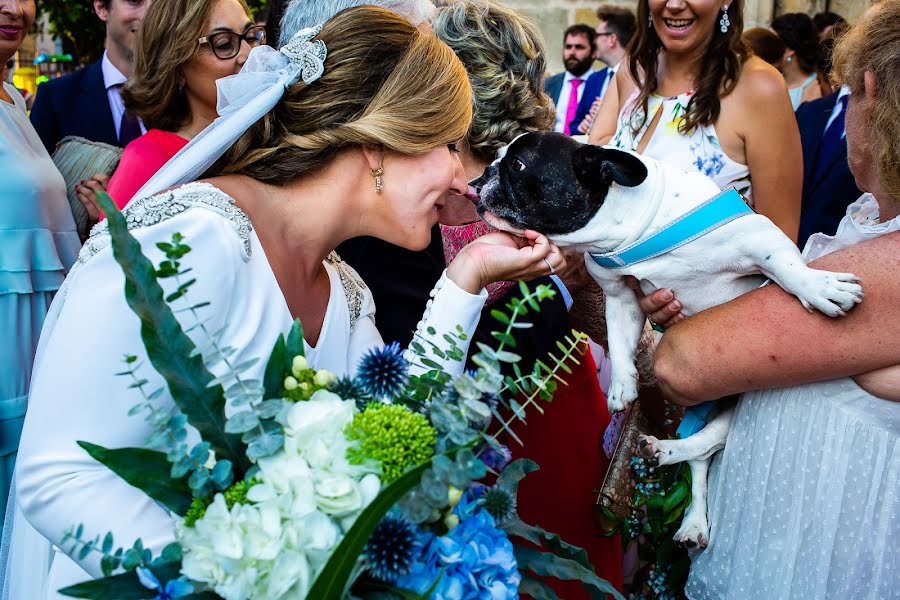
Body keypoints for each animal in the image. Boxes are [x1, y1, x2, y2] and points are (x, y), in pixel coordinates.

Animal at [474, 132, 860, 548]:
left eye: (517, 165)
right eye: (497, 158)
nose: (482, 175)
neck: (630, 233)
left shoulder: (759, 238)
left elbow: (785, 267)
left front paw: (818, 287)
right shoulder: (620, 296)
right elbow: (620, 341)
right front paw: (623, 387)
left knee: (708, 443)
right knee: (701, 455)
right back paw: (677, 487)